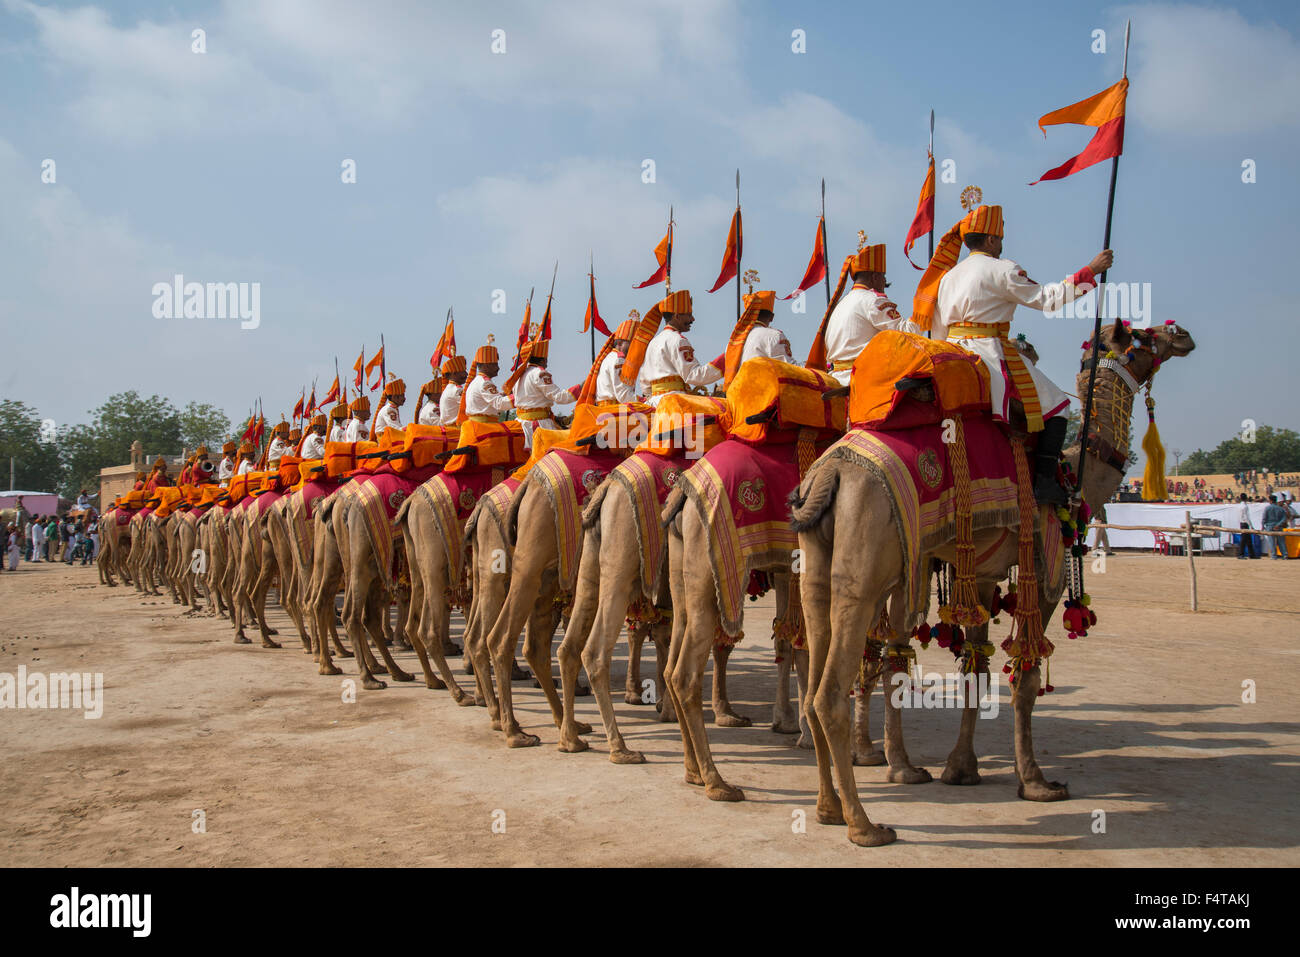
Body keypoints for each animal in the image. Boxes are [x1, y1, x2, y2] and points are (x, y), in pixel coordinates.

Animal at [785, 321, 1190, 842]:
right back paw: (865, 824)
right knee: (832, 688)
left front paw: (961, 768)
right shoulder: (1046, 568)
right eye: (1142, 337)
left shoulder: (978, 577)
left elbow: (976, 666)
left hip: (821, 564)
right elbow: (1027, 677)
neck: (1074, 472)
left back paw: (835, 803)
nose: (1182, 336)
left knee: (828, 671)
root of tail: (829, 473)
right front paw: (1036, 782)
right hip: (868, 566)